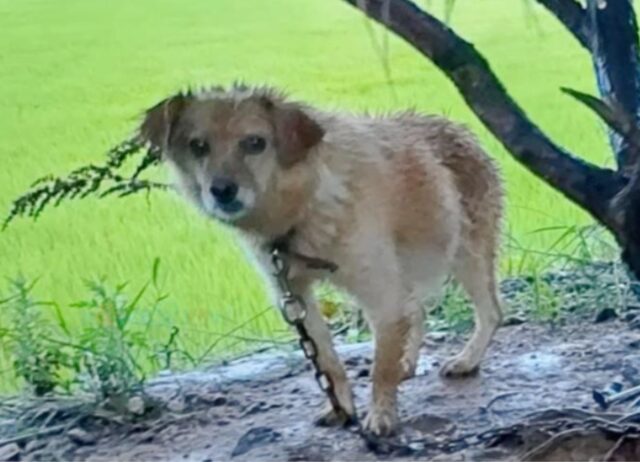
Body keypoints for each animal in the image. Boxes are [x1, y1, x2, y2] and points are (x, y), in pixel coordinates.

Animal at [140, 84, 504, 436]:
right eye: (198, 146)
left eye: (255, 143)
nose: (222, 191)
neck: (303, 209)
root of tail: (459, 129)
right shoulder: (293, 295)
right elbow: (327, 358)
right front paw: (341, 407)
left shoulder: (379, 290)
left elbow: (380, 366)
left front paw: (381, 415)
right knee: (416, 312)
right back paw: (407, 363)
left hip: (467, 256)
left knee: (490, 313)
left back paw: (467, 360)